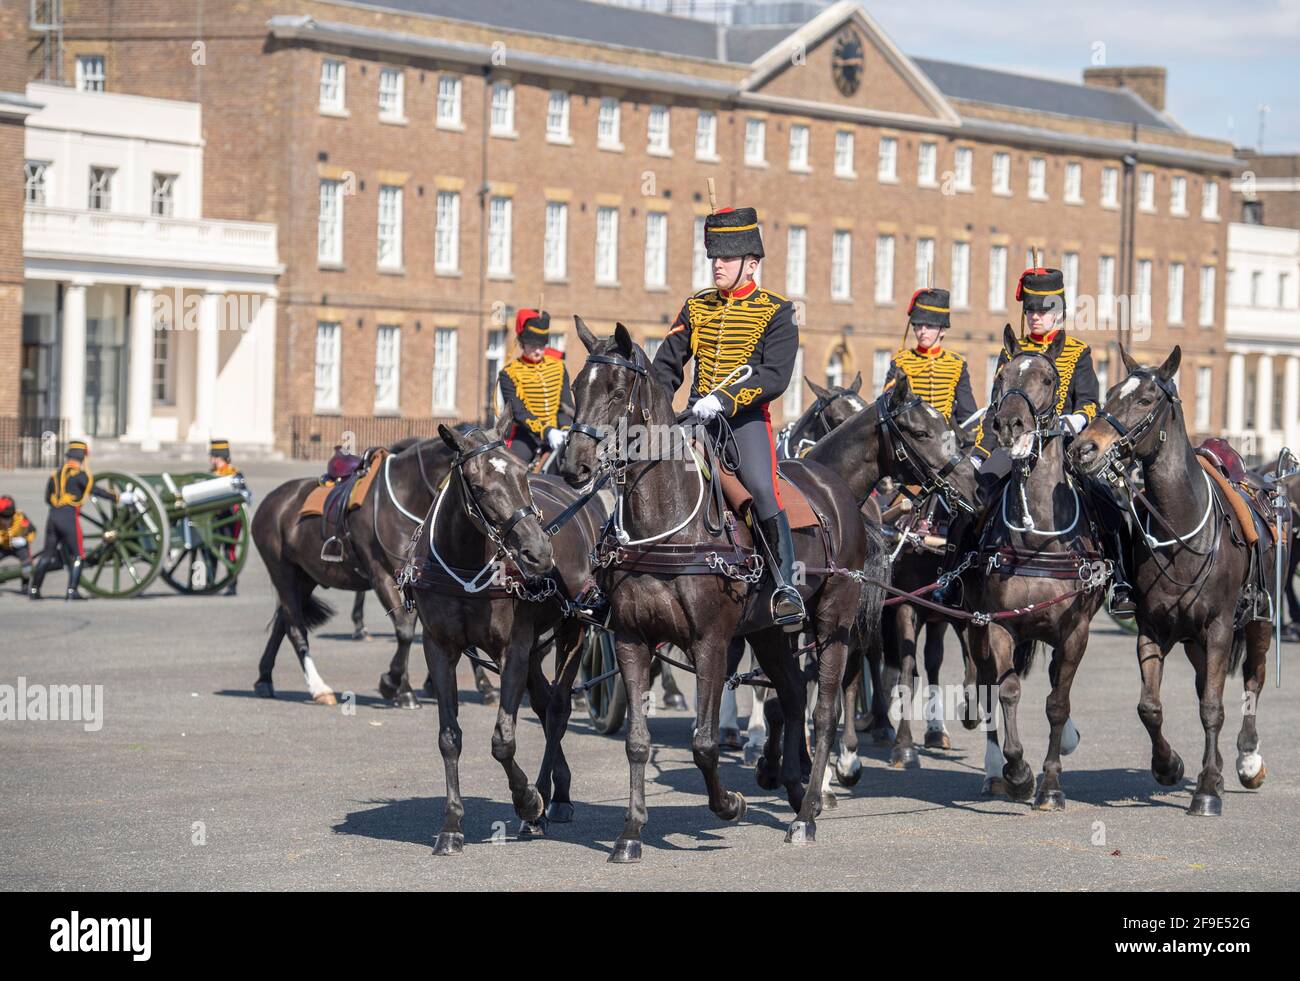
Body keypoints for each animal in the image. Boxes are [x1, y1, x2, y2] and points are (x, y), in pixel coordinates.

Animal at [1066, 343, 1279, 815]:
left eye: (1146, 400)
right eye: (1109, 393)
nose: (1083, 448)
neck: (1180, 527)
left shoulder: (1219, 628)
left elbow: (1215, 707)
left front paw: (1208, 790)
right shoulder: (1153, 628)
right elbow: (1151, 706)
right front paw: (1170, 766)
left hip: (1258, 622)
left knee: (1252, 682)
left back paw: (1247, 760)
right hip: (1195, 641)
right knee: (1205, 686)